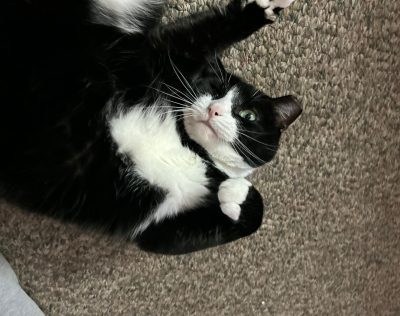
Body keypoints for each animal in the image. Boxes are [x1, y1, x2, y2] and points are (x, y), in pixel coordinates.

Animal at [0, 0, 300, 254]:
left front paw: (236, 195)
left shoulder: (160, 227)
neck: (191, 148)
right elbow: (191, 36)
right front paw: (263, 8)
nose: (214, 110)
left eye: (248, 115)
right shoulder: (162, 59)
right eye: (214, 89)